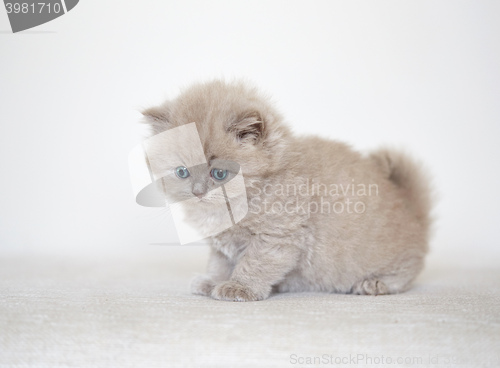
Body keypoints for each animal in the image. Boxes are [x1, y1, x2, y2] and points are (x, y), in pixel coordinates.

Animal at [142, 80, 434, 302]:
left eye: (219, 174)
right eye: (182, 171)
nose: (198, 191)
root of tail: (410, 205)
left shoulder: (277, 236)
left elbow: (255, 263)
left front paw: (239, 287)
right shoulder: (221, 246)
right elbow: (219, 263)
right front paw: (211, 282)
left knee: (409, 270)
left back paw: (374, 283)